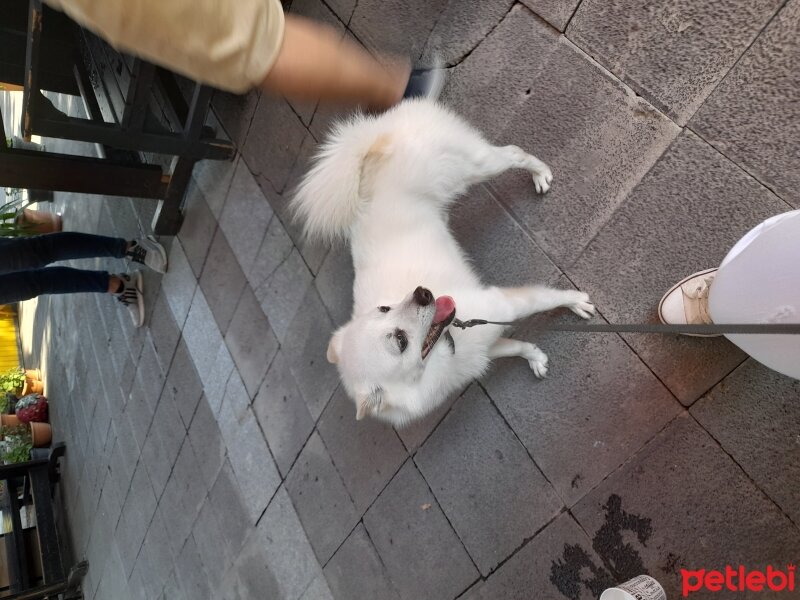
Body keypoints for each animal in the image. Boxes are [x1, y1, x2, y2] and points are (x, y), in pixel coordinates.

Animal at [294, 98, 592, 426]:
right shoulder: (483, 347)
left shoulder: (503, 304)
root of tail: (375, 140)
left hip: (473, 167)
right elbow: (517, 347)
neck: (446, 346)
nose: (423, 292)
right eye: (400, 341)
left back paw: (540, 174)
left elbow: (551, 298)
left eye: (384, 308)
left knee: (514, 152)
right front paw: (536, 359)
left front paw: (578, 302)